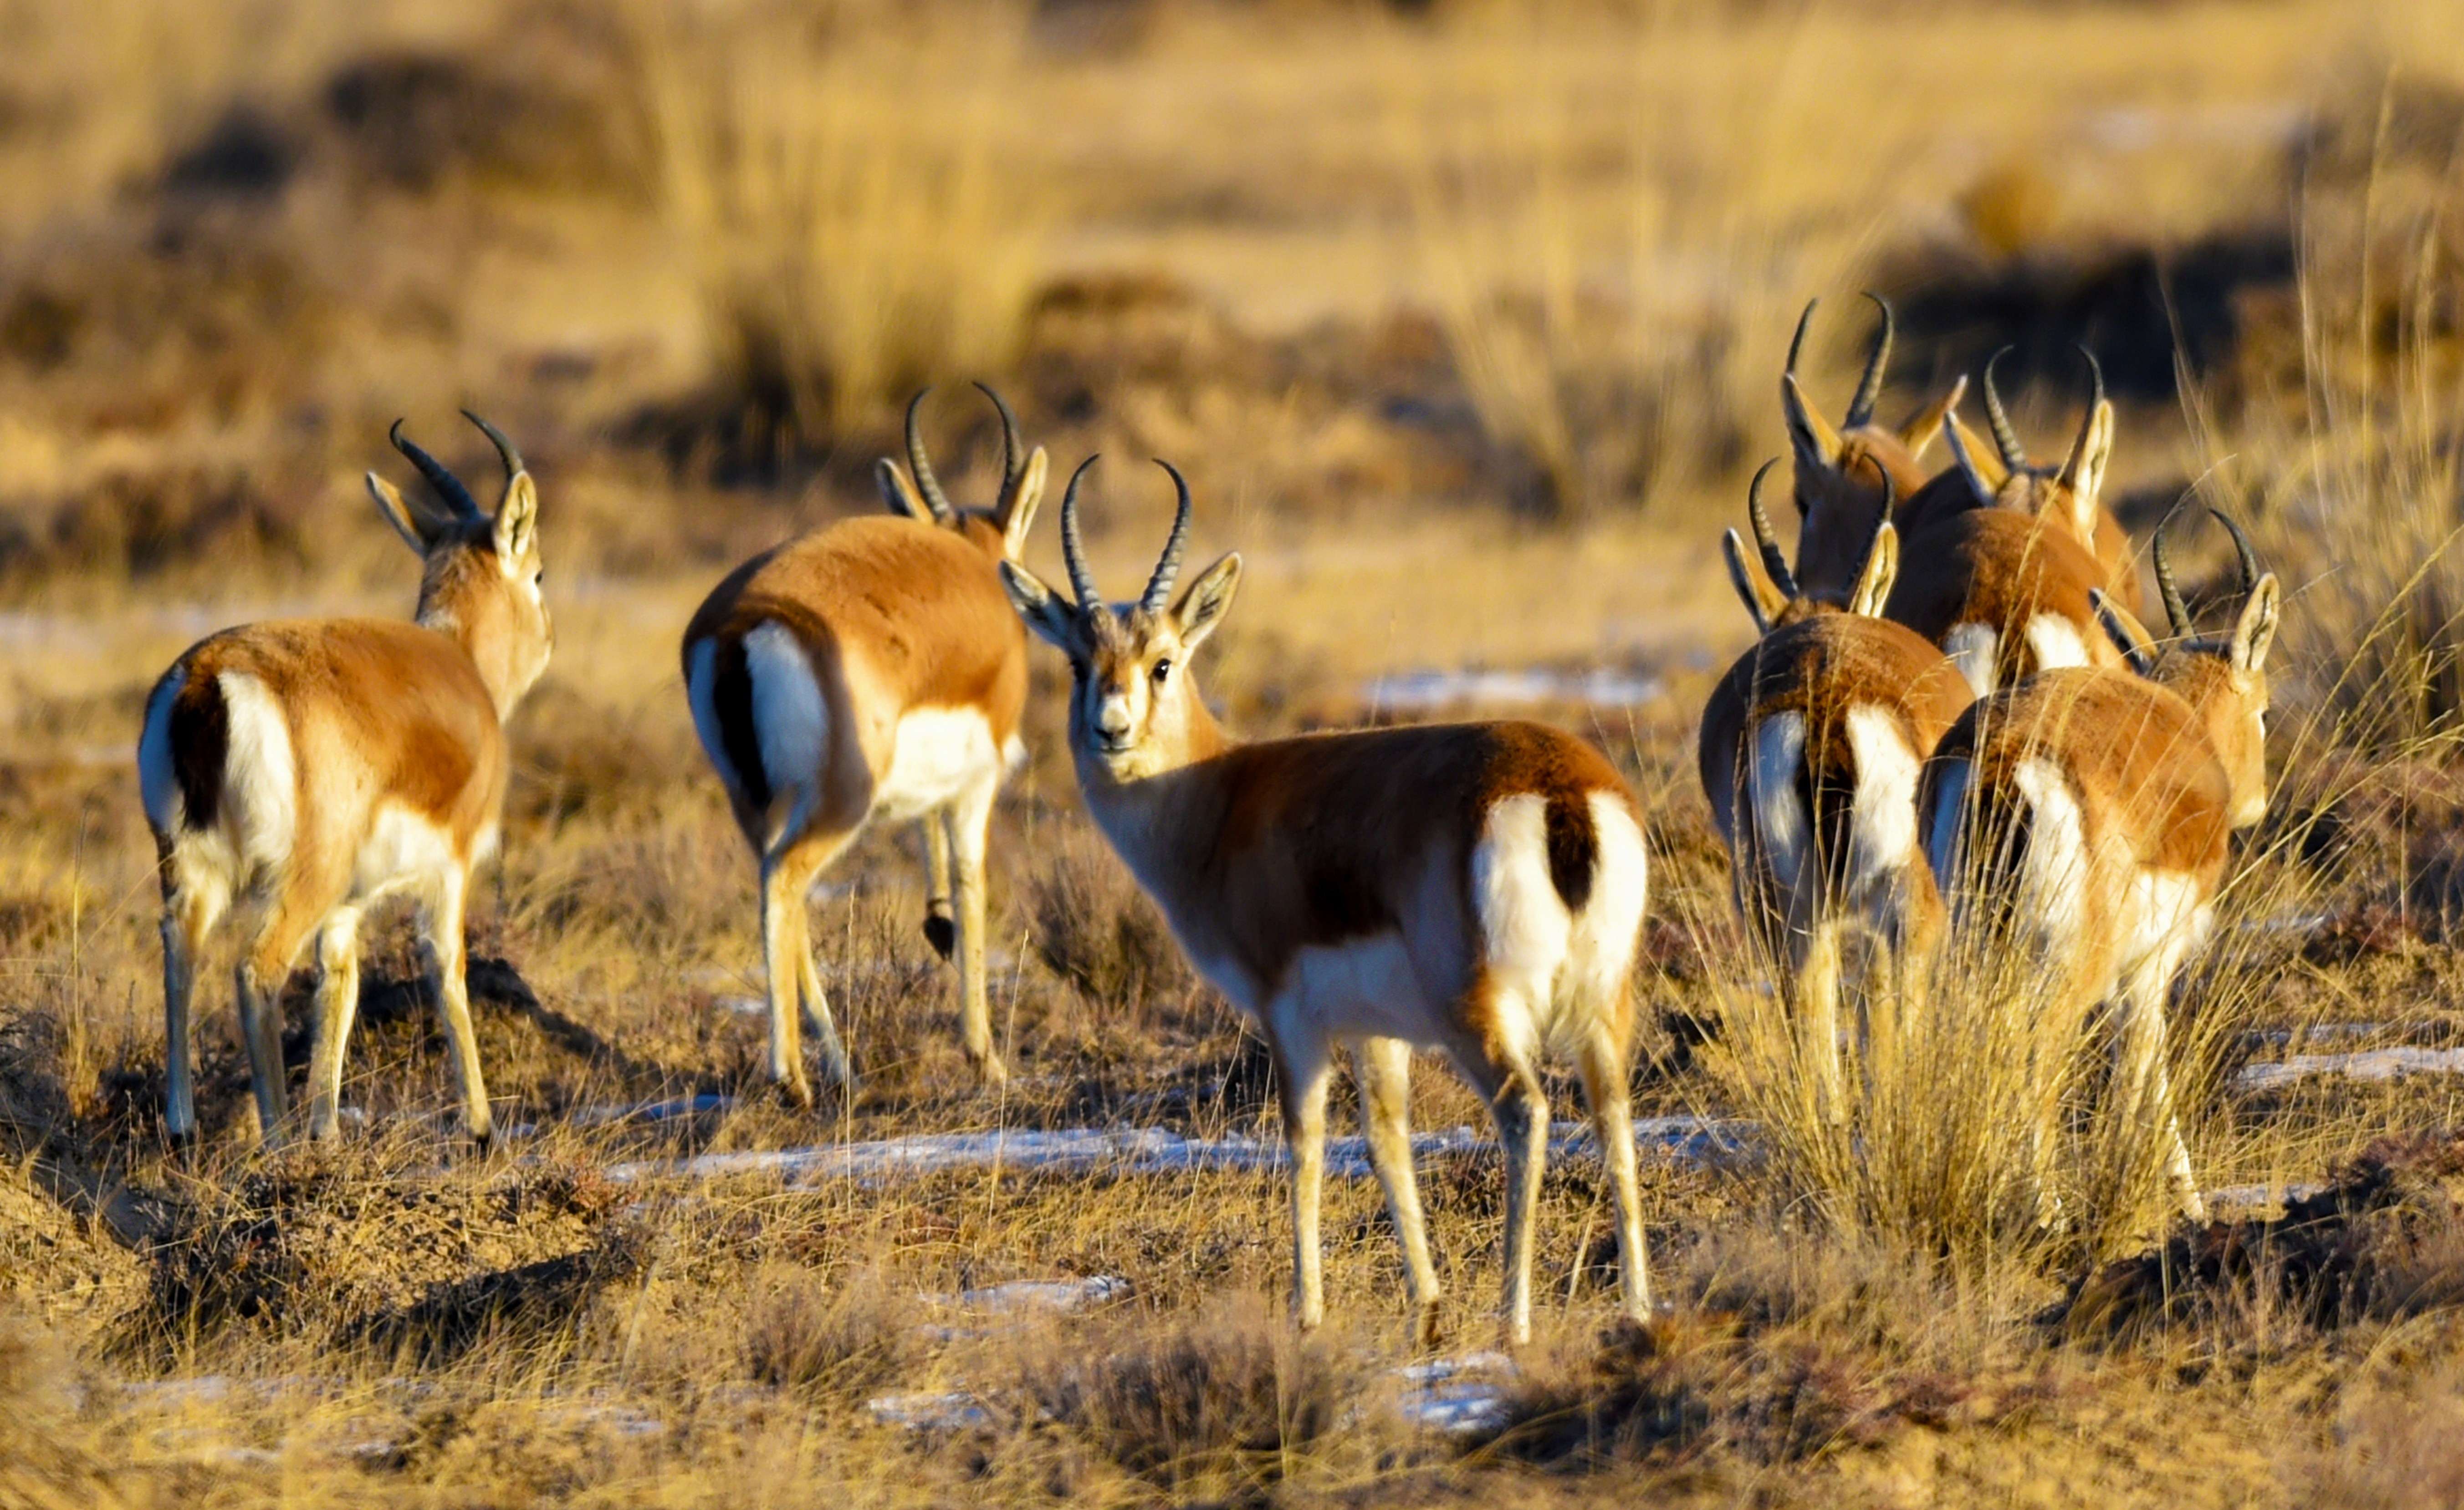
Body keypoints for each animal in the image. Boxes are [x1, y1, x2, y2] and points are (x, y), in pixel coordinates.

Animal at [139, 414, 551, 1148]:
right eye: (537, 572)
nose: (550, 638)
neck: (460, 666)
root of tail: (205, 680)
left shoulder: (347, 906)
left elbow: (340, 986)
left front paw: (328, 1134)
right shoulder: (449, 872)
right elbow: (447, 972)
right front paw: (479, 1126)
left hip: (190, 867)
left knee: (179, 946)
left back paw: (184, 1127)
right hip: (302, 877)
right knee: (256, 968)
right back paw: (275, 1142)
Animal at [682, 386, 1046, 1102]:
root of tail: (741, 623)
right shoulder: (977, 785)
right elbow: (971, 885)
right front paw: (985, 1058)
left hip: (754, 803)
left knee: (776, 888)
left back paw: (837, 1067)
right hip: (839, 803)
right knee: (785, 882)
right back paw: (792, 1076)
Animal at [1000, 460, 1652, 1345]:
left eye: (1163, 661)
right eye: (1077, 663)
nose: (1111, 730)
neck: (1218, 799)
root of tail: (1560, 790)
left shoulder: (1290, 1017)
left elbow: (1304, 1143)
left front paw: (1305, 1311)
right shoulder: (1379, 1030)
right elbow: (1386, 1141)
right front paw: (1427, 1309)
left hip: (1475, 1014)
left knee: (1525, 1112)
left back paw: (1513, 1325)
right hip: (1602, 1005)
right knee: (1616, 1116)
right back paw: (1639, 1312)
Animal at [1918, 512, 2279, 1221]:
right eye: (2263, 709)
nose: (2257, 800)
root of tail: (2004, 756)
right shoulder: (2151, 962)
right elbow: (2144, 1064)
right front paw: (2187, 1203)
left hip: (1980, 947)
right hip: (2070, 964)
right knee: (2037, 1054)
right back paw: (2048, 1213)